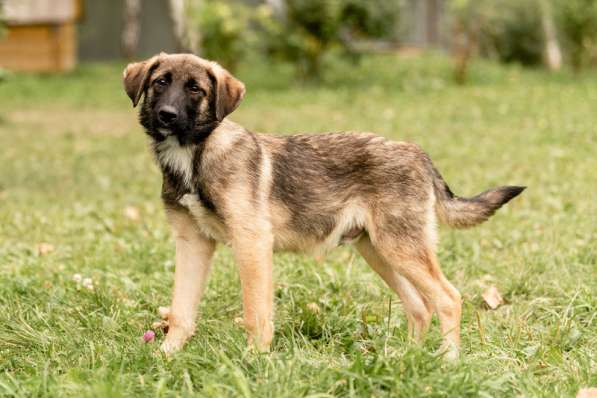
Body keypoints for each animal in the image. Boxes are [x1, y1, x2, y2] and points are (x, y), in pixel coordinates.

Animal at [123, 51, 524, 360]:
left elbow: (255, 312)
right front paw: (166, 357)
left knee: (448, 298)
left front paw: (254, 360)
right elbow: (181, 310)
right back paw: (406, 359)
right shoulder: (193, 244)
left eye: (196, 88)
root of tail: (419, 154)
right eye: (160, 82)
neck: (196, 155)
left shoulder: (252, 243)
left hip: (401, 248)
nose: (167, 115)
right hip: (380, 251)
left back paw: (447, 361)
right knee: (420, 306)